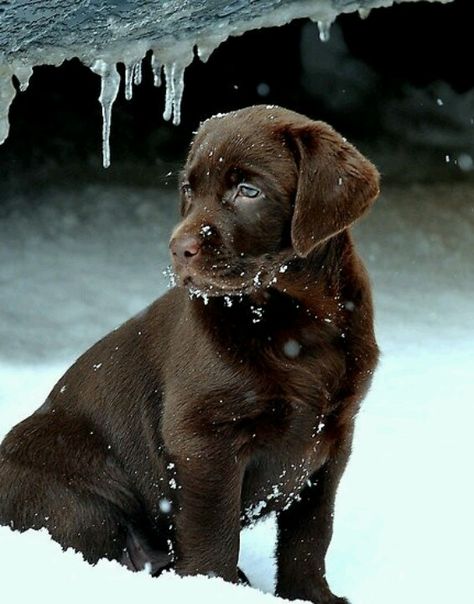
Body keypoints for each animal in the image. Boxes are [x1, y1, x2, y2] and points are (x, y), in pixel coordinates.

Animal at [0, 106, 378, 600]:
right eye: (188, 190)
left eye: (248, 191)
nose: (178, 249)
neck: (295, 321)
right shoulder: (204, 440)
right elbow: (213, 532)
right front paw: (213, 589)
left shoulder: (333, 437)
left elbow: (311, 532)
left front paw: (309, 595)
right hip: (74, 495)